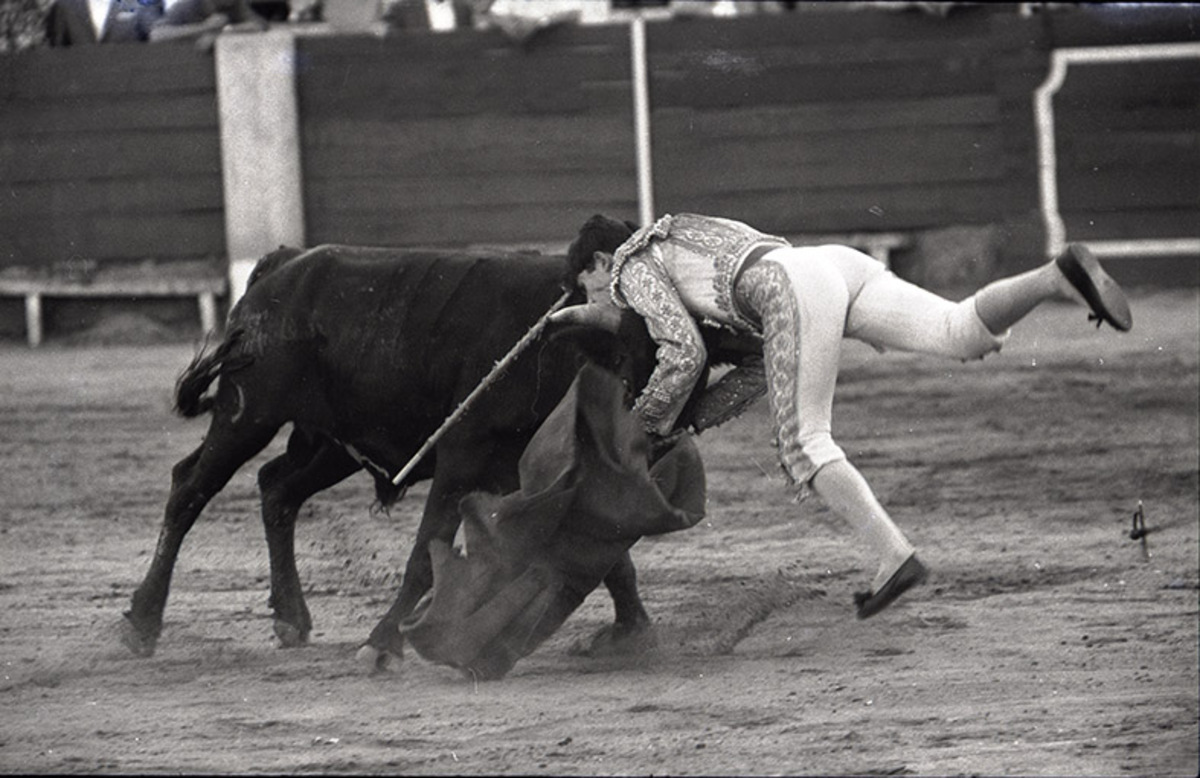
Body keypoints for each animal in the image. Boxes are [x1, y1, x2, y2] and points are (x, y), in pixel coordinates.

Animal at [121, 242, 758, 667]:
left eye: (698, 378)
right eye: (626, 363)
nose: (652, 444)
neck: (558, 356)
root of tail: (284, 264)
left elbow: (611, 559)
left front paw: (632, 632)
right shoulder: (462, 457)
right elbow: (426, 552)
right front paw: (382, 643)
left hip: (331, 443)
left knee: (277, 487)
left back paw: (290, 618)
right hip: (247, 414)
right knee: (190, 488)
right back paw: (143, 622)